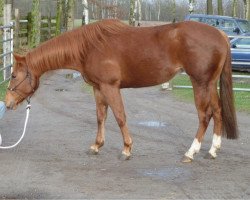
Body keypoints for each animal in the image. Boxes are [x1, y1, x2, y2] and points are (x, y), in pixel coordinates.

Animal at [4, 19, 237, 162]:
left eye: (14, 75)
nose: (7, 102)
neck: (88, 47)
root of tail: (220, 34)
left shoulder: (110, 87)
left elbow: (120, 117)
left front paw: (126, 149)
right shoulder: (98, 88)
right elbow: (101, 117)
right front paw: (96, 145)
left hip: (200, 83)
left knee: (205, 115)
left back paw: (191, 152)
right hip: (210, 84)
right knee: (217, 112)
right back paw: (213, 150)